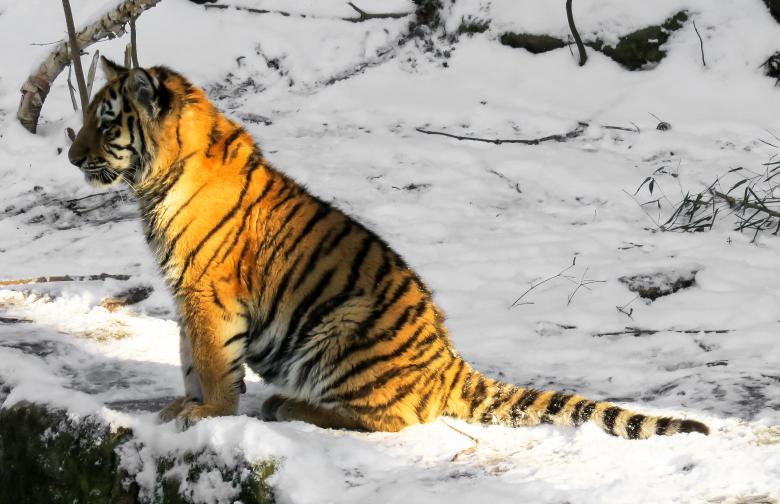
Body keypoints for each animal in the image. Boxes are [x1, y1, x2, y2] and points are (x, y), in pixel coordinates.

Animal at [66, 57, 709, 440]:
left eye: (106, 123)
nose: (70, 156)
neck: (154, 181)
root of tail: (450, 363)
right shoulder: (184, 294)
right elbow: (188, 360)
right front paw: (186, 405)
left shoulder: (206, 292)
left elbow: (210, 363)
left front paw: (208, 414)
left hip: (339, 333)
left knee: (391, 419)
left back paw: (288, 407)